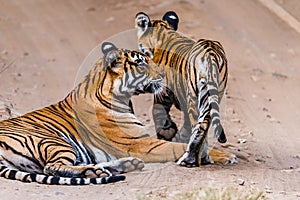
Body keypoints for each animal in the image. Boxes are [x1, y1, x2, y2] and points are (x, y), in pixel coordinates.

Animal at [0, 42, 188, 186]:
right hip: (52, 140)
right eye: (141, 64)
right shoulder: (141, 143)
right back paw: (94, 172)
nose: (163, 74)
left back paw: (126, 164)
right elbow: (177, 146)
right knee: (52, 166)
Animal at [135, 11, 237, 167]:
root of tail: (211, 51)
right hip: (211, 96)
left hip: (194, 97)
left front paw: (168, 135)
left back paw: (191, 160)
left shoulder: (162, 95)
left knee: (199, 129)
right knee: (203, 126)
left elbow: (159, 115)